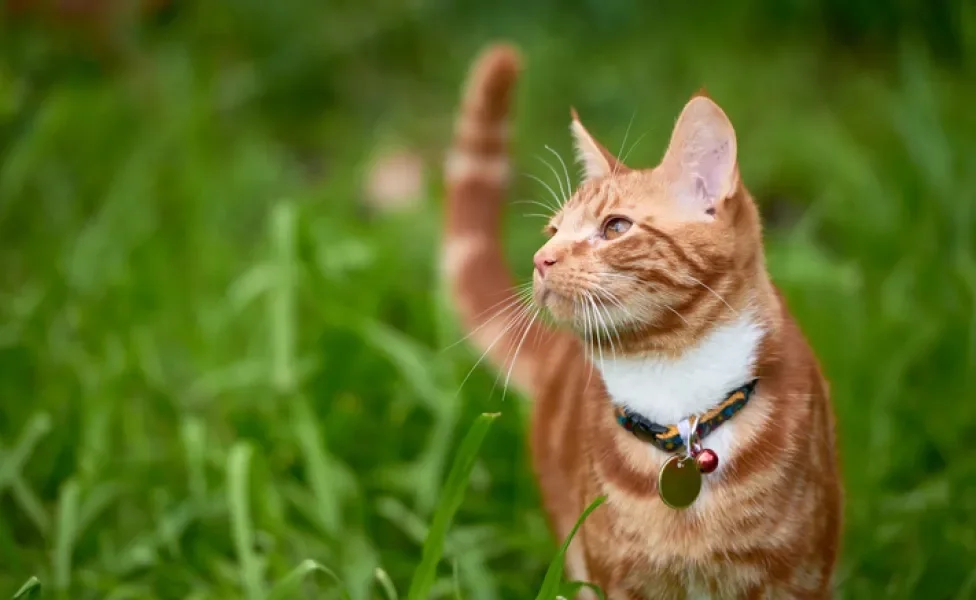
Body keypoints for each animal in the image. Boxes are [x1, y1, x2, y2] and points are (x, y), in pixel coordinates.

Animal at [446, 43, 844, 600]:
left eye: (615, 227)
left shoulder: (800, 576)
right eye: (552, 230)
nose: (541, 259)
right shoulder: (617, 580)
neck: (678, 399)